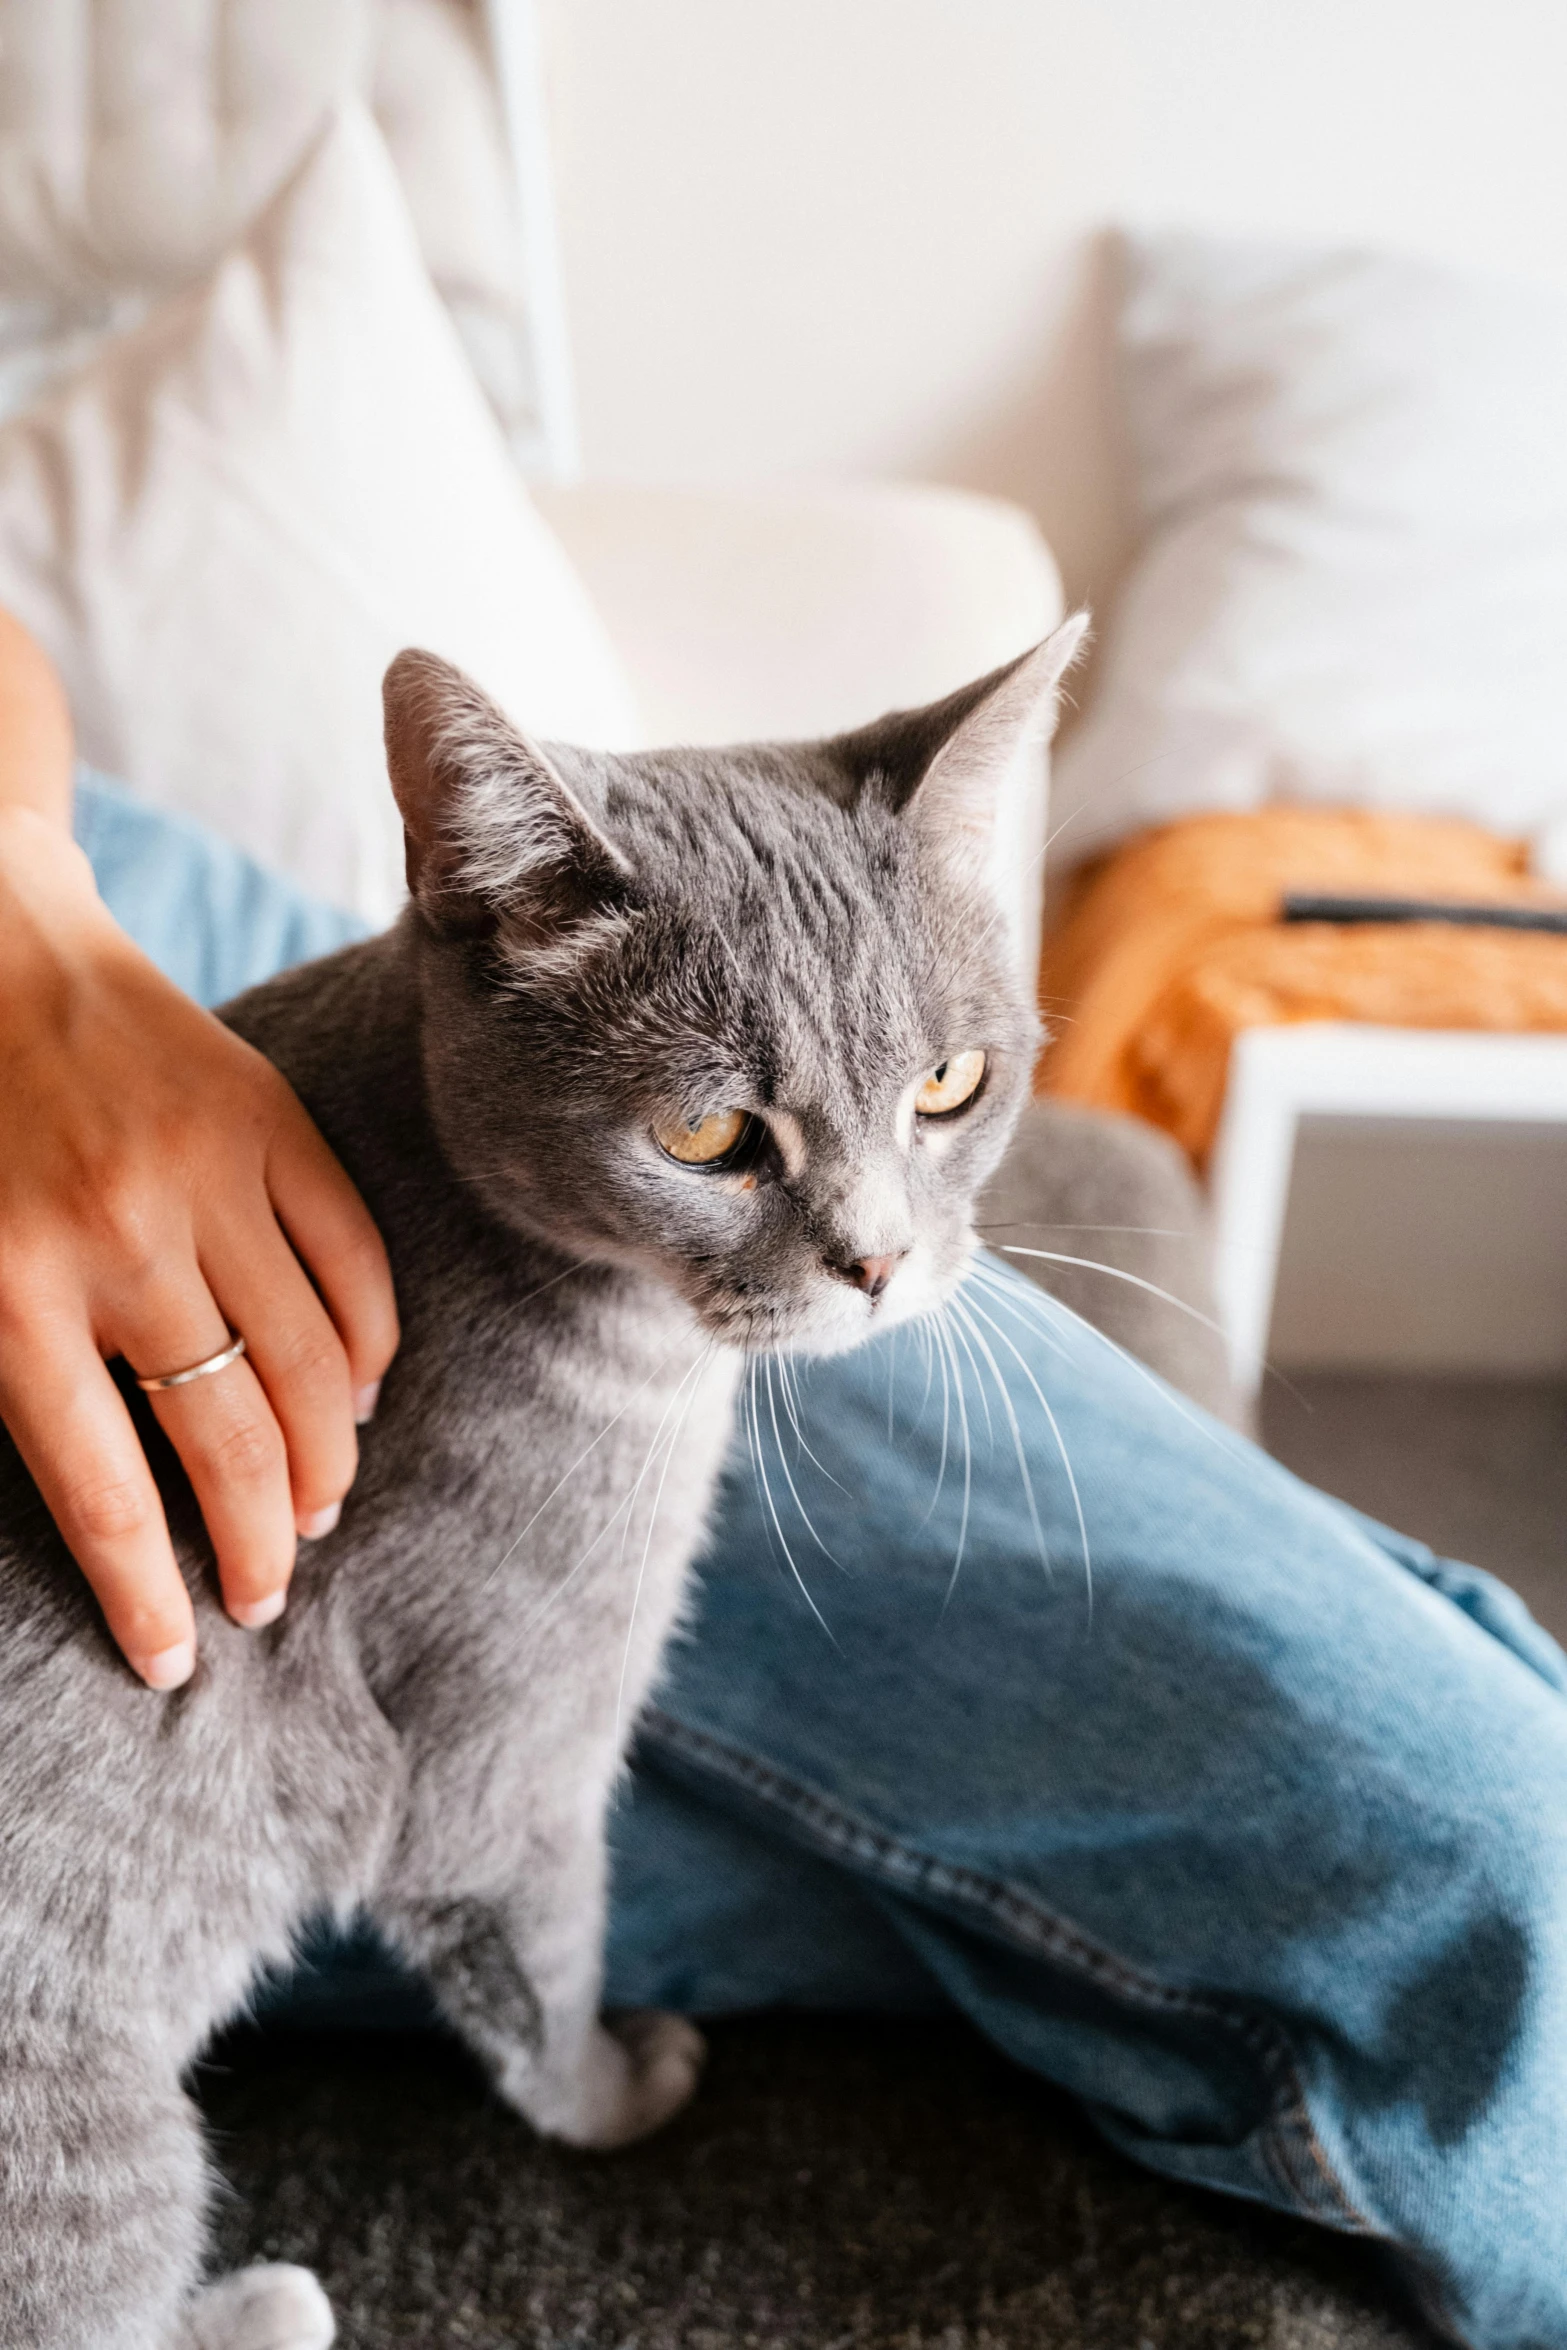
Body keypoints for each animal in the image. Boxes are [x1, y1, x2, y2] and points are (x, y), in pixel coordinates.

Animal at [0, 615, 1080, 2340]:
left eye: (947, 1083)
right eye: (706, 1133)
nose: (876, 1261)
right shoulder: (512, 1737)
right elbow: (545, 1957)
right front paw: (622, 2087)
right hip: (82, 2118)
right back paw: (269, 2300)